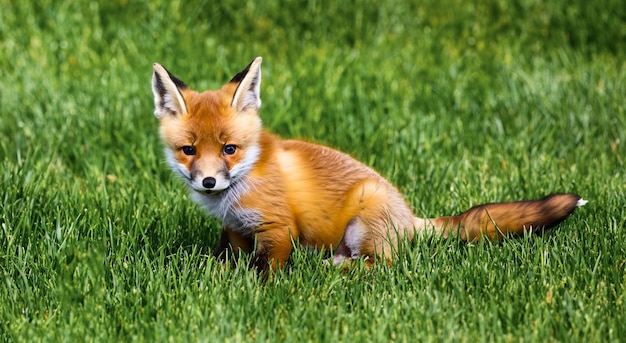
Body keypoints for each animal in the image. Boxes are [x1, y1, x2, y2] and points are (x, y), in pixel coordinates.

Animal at [151, 57, 584, 272]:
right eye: (188, 150)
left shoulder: (278, 228)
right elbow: (227, 259)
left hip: (365, 219)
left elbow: (266, 268)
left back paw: (335, 270)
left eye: (230, 149)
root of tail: (411, 218)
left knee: (380, 266)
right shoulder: (236, 229)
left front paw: (258, 288)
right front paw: (218, 275)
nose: (208, 182)